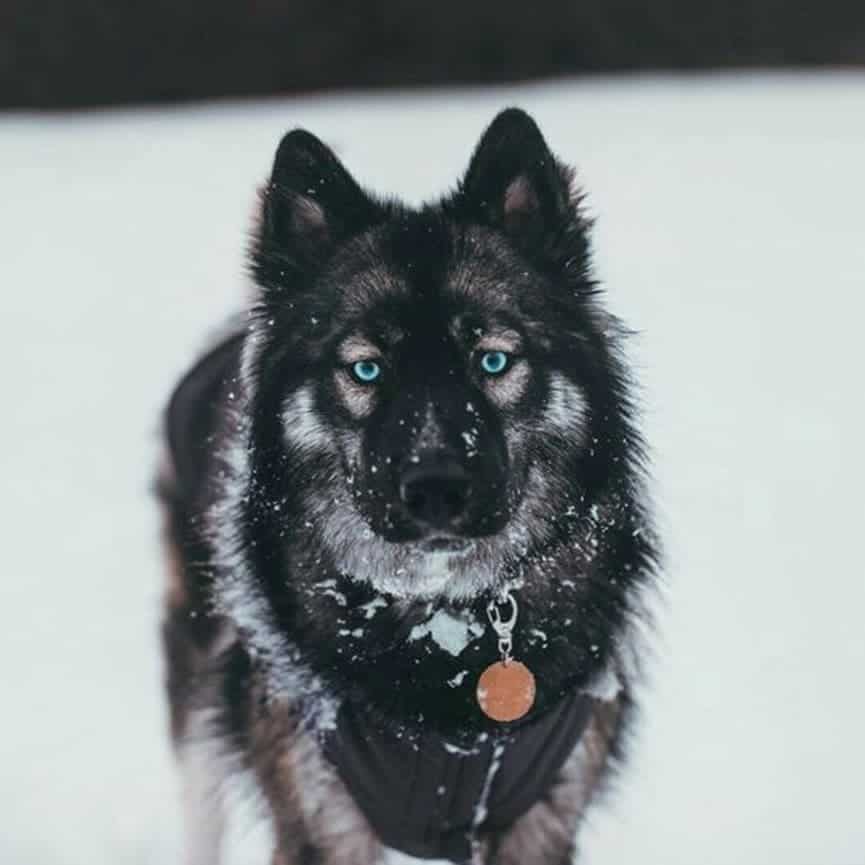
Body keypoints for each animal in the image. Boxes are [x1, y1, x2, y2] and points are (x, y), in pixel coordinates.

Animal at [157, 108, 656, 864]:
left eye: (491, 360)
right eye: (366, 369)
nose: (435, 490)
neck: (445, 624)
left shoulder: (540, 819)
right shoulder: (321, 822)